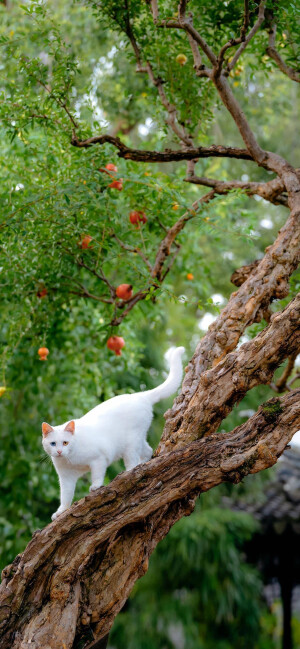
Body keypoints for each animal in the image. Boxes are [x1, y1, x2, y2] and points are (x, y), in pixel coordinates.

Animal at [41, 346, 184, 520]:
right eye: (53, 443)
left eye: (65, 442)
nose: (59, 451)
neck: (71, 459)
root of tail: (140, 395)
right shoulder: (66, 478)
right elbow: (65, 497)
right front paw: (61, 512)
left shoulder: (99, 459)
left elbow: (97, 475)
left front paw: (95, 487)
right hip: (137, 441)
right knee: (148, 451)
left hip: (130, 445)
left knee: (132, 463)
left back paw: (129, 473)